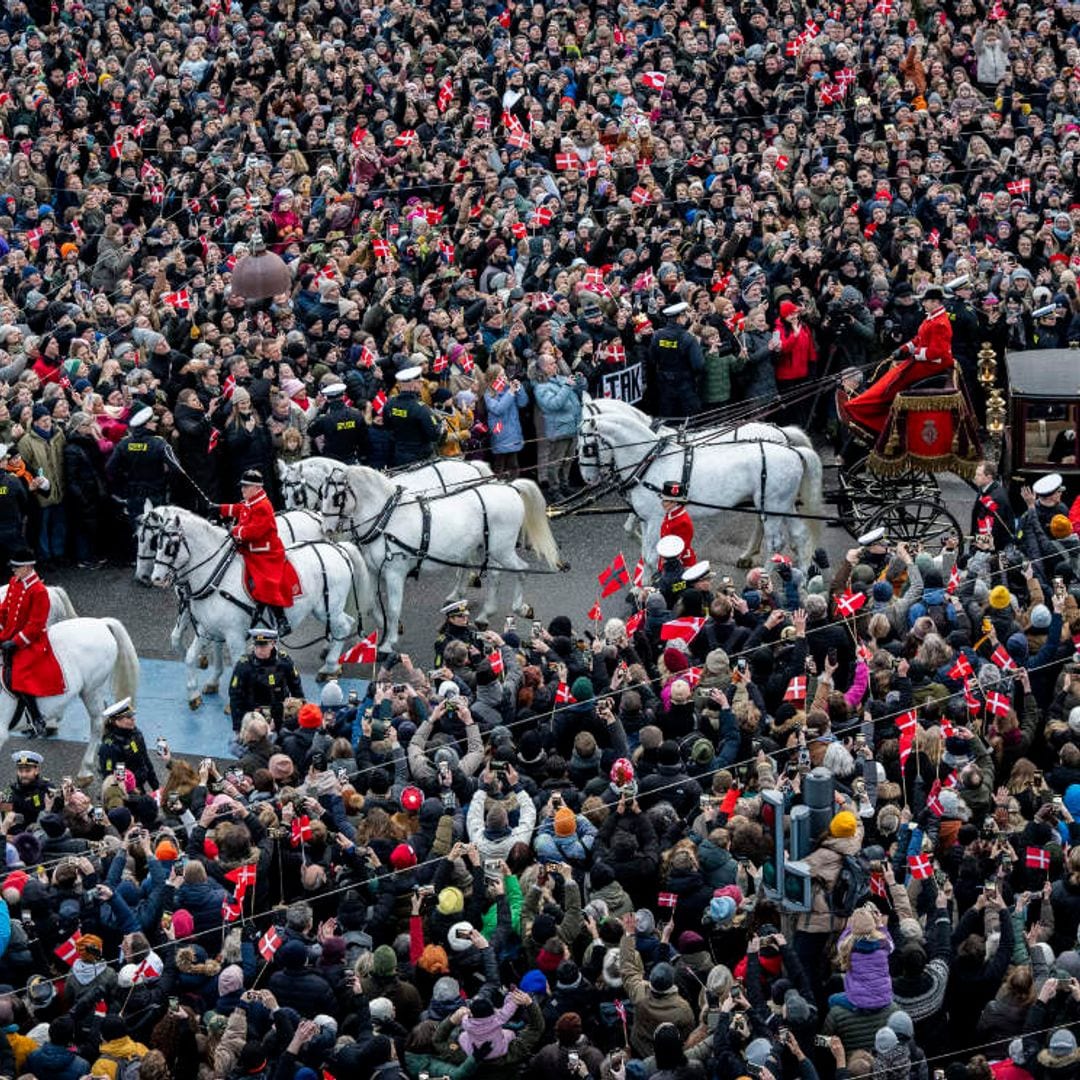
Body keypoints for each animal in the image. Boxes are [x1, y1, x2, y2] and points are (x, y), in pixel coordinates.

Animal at [315, 464, 561, 648]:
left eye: (337, 497)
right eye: (320, 495)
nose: (326, 530)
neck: (386, 520)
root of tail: (509, 487)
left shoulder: (394, 573)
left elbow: (393, 608)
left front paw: (389, 642)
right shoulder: (374, 570)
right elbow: (371, 603)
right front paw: (383, 629)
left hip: (503, 549)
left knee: (521, 569)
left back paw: (520, 607)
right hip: (487, 547)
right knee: (493, 575)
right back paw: (484, 614)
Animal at [578, 408, 820, 570]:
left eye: (587, 448)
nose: (588, 479)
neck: (652, 461)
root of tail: (793, 450)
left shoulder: (656, 519)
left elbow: (650, 557)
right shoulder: (646, 519)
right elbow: (644, 550)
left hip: (772, 505)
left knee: (775, 543)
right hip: (783, 504)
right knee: (799, 535)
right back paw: (802, 578)